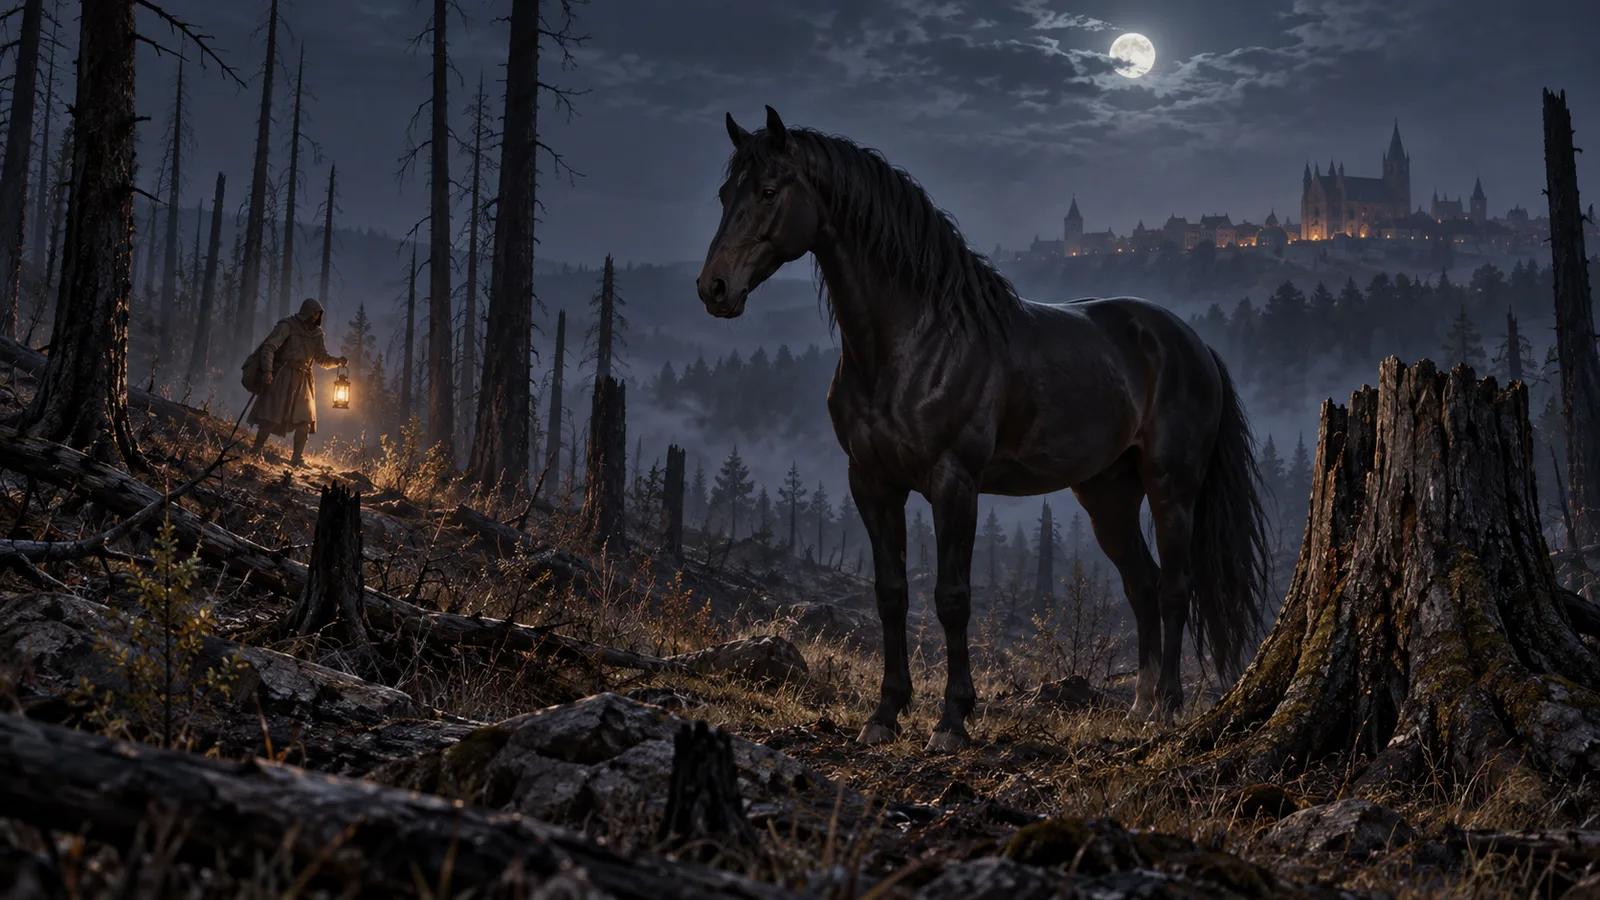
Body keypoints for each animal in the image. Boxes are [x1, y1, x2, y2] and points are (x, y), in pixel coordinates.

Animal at [695, 106, 1270, 752]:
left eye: (769, 191)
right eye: (726, 194)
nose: (715, 288)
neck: (912, 343)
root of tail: (1190, 342)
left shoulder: (954, 484)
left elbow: (952, 599)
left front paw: (952, 720)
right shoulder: (870, 482)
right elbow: (890, 593)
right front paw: (885, 713)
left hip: (1172, 485)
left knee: (1174, 586)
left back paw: (1167, 707)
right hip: (1107, 494)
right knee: (1142, 584)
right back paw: (1140, 707)